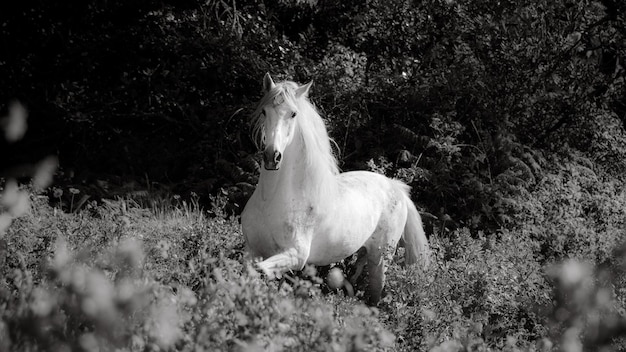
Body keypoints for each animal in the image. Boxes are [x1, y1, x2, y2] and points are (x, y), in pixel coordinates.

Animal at [239, 73, 428, 304]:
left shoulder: (294, 255)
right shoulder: (251, 250)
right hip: (364, 251)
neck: (271, 200)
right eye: (265, 111)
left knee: (375, 294)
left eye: (293, 114)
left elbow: (261, 271)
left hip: (381, 259)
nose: (271, 157)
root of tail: (396, 188)